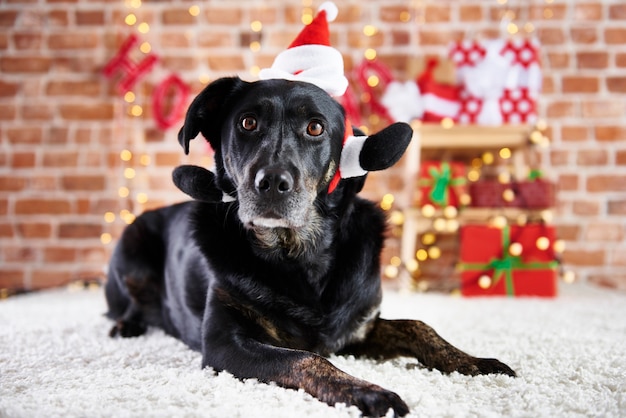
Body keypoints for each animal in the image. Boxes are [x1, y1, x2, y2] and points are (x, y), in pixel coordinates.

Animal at [105, 76, 516, 416]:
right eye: (247, 123)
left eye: (315, 127)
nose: (271, 182)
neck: (299, 253)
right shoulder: (224, 344)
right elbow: (306, 358)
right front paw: (368, 392)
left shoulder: (358, 329)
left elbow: (418, 325)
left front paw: (473, 362)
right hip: (131, 246)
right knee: (125, 305)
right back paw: (127, 325)